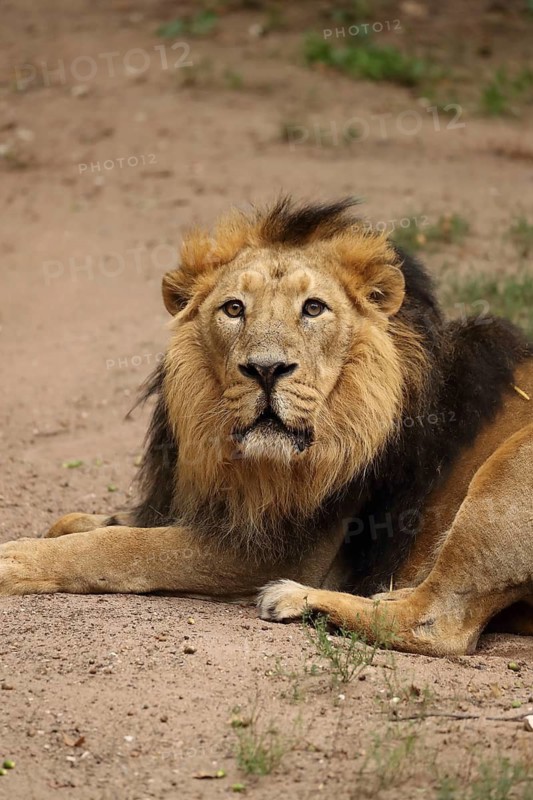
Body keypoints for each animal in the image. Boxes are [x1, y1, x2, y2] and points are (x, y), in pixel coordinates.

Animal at [1, 197, 532, 657]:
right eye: (234, 308)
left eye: (313, 308)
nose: (266, 369)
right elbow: (92, 523)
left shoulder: (284, 551)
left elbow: (126, 548)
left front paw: (18, 558)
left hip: (507, 471)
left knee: (438, 624)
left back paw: (297, 599)